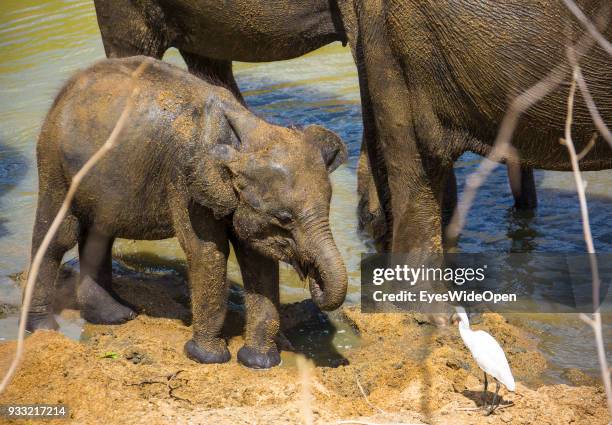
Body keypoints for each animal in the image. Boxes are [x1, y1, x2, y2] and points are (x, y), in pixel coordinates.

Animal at [27, 55, 350, 368]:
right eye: (284, 218)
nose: (313, 279)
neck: (249, 134)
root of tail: (68, 87)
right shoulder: (185, 182)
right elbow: (208, 252)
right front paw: (207, 358)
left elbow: (257, 258)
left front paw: (260, 362)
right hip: (54, 159)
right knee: (60, 235)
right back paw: (43, 329)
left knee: (99, 234)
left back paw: (114, 316)